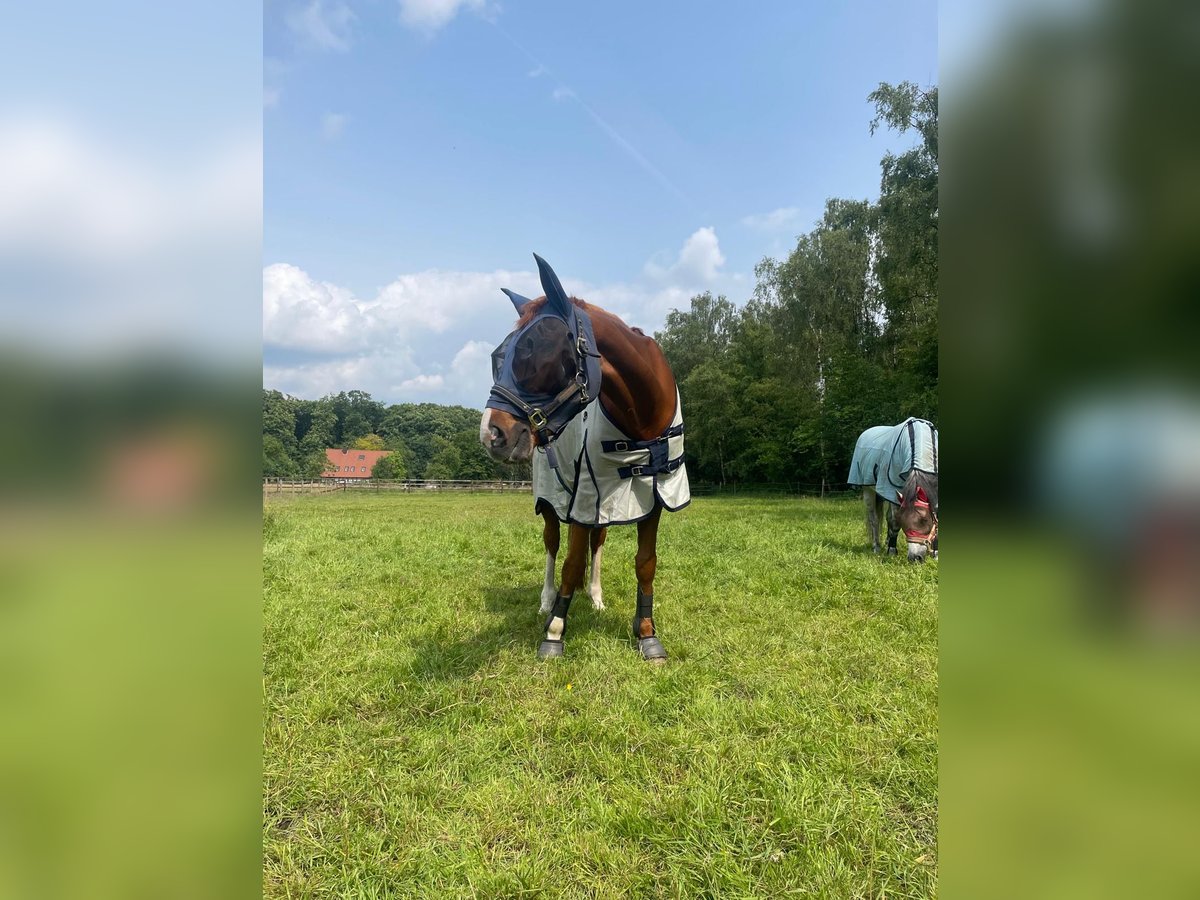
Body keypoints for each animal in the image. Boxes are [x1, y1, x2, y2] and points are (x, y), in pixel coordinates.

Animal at [480, 254, 690, 662]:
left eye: (535, 350)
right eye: (499, 356)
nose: (491, 433)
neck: (642, 419)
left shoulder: (654, 497)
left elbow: (645, 563)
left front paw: (646, 634)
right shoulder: (583, 496)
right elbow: (568, 562)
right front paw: (554, 632)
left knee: (598, 543)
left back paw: (594, 596)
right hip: (550, 499)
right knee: (551, 543)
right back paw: (547, 602)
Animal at [848, 418, 939, 562]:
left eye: (924, 520)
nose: (915, 558)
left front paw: (935, 553)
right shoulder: (892, 490)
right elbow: (894, 521)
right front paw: (891, 550)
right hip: (869, 491)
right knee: (874, 520)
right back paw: (877, 546)